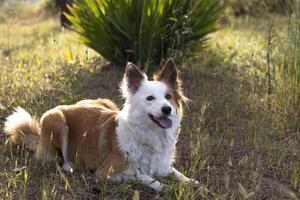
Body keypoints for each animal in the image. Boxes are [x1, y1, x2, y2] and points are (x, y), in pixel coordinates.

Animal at [3, 58, 199, 191]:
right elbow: (143, 176)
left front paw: (191, 182)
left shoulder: (163, 164)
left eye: (168, 97)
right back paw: (70, 166)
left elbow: (175, 172)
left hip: (106, 102)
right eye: (150, 98)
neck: (149, 133)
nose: (167, 109)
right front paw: (164, 186)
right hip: (55, 119)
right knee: (62, 159)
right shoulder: (106, 171)